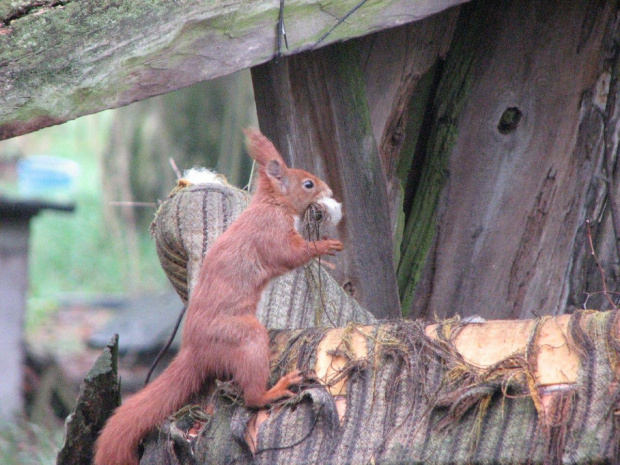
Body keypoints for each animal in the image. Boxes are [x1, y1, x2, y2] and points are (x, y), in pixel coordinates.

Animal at [94, 128, 344, 464]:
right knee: (252, 398)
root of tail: (195, 350)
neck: (273, 205)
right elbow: (291, 255)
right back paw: (276, 389)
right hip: (243, 338)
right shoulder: (271, 234)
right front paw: (324, 247)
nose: (328, 189)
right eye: (308, 184)